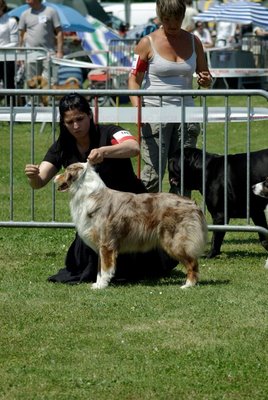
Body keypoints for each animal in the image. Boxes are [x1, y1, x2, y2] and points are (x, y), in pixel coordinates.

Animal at [54, 161, 207, 290]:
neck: (89, 195)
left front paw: (102, 285)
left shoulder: (107, 244)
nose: (55, 177)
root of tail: (192, 203)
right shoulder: (100, 245)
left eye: (65, 171)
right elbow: (99, 269)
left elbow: (105, 268)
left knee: (193, 262)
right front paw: (97, 284)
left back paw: (188, 285)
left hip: (175, 241)